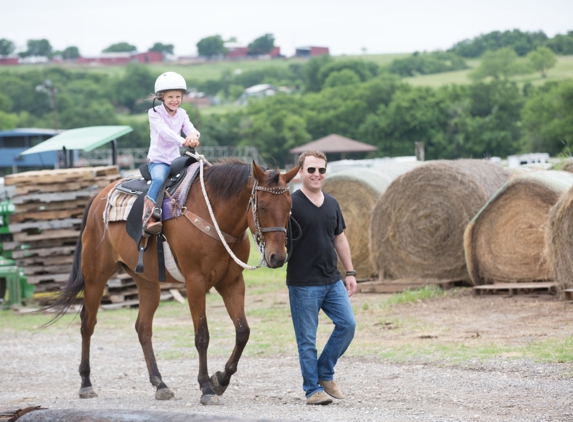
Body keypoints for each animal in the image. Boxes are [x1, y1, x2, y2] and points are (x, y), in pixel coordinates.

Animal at [48, 159, 298, 406]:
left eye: (289, 207)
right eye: (262, 206)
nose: (278, 257)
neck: (214, 215)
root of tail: (98, 198)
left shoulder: (232, 283)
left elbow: (243, 331)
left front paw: (220, 380)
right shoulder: (195, 283)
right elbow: (202, 336)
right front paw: (206, 388)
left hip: (147, 282)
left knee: (143, 328)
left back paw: (160, 384)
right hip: (95, 277)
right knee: (87, 324)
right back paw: (86, 383)